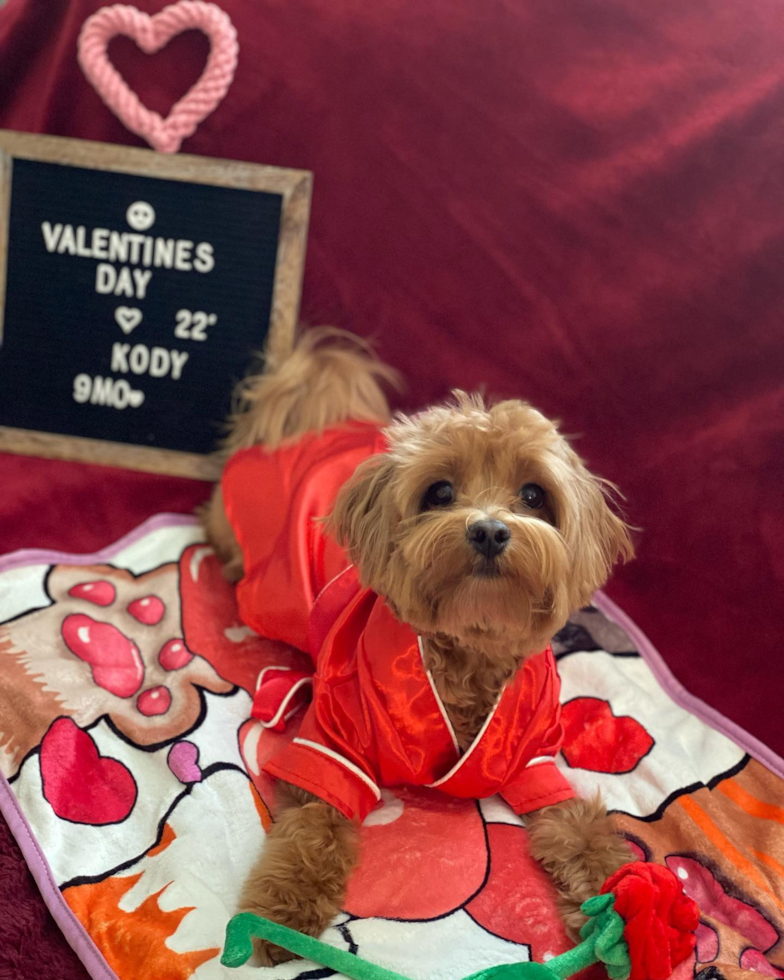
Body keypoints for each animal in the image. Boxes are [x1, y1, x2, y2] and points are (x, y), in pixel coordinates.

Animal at [201, 330, 632, 964]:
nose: (489, 530)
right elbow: (312, 832)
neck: (466, 651)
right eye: (440, 491)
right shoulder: (331, 745)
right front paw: (279, 916)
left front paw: (618, 893)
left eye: (534, 494)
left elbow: (577, 823)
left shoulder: (534, 759)